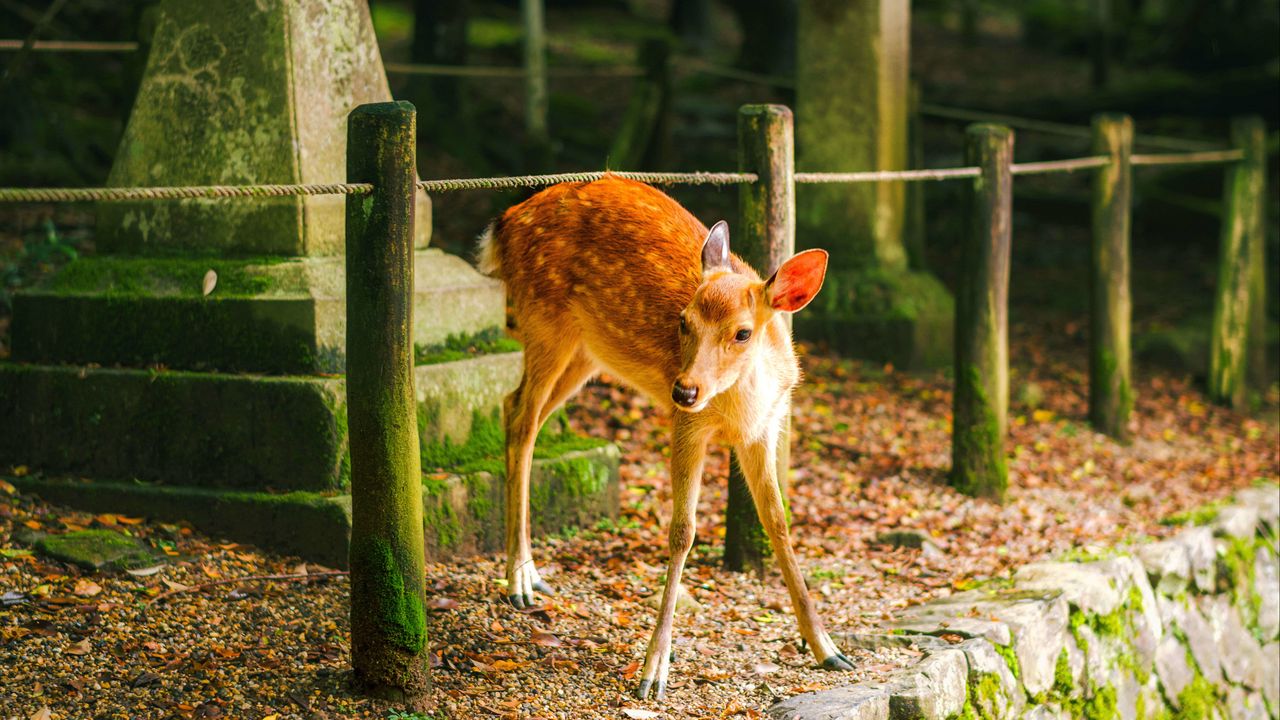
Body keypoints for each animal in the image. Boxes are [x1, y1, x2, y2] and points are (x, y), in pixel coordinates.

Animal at [476, 175, 851, 700]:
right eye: (682, 320)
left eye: (742, 332)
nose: (683, 388)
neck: (737, 408)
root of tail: (504, 224)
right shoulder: (687, 425)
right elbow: (683, 531)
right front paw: (654, 670)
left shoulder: (764, 428)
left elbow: (777, 521)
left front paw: (827, 649)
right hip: (544, 322)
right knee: (522, 418)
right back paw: (521, 579)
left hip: (586, 353)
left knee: (514, 406)